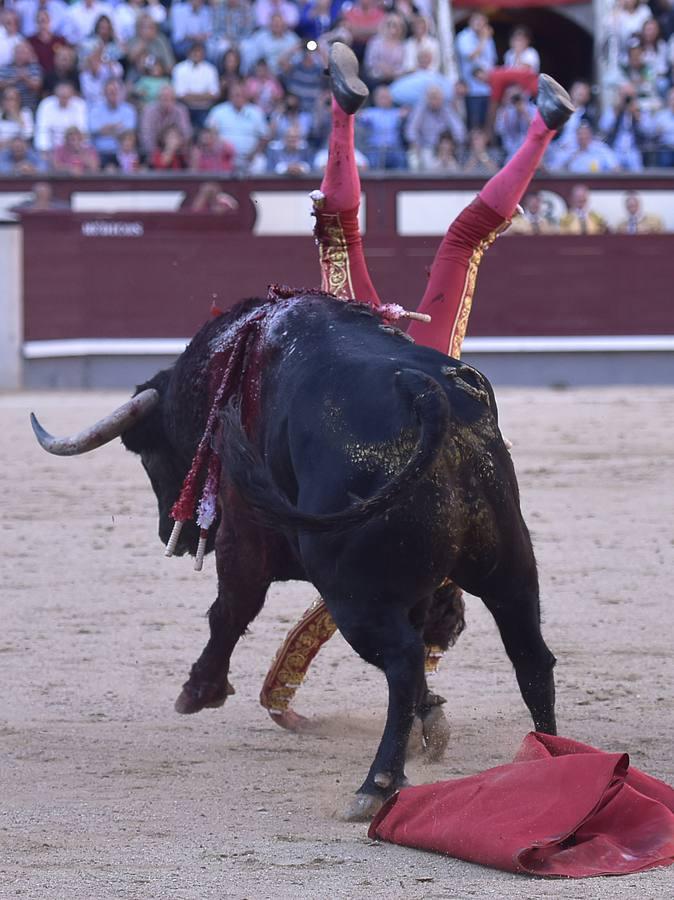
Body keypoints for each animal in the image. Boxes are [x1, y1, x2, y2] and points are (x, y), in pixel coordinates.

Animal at [31, 296, 552, 824]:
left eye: (146, 453)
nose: (168, 534)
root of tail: (426, 393)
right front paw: (432, 723)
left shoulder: (243, 529)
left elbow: (230, 609)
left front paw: (200, 690)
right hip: (509, 569)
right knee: (528, 654)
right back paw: (545, 756)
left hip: (353, 596)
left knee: (403, 661)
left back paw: (376, 785)